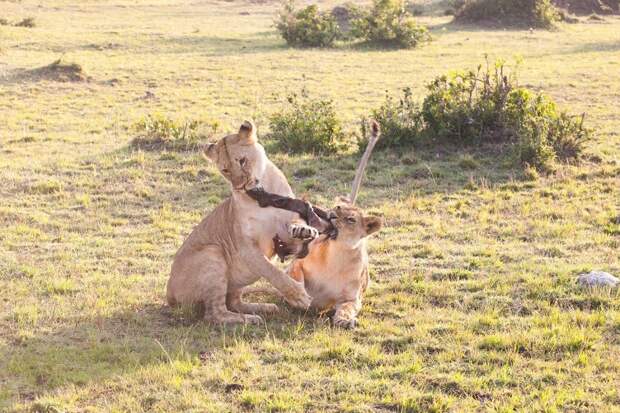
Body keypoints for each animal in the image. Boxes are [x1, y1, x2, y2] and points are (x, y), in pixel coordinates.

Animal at [166, 120, 314, 326]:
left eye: (242, 161)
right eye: (225, 170)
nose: (240, 186)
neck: (263, 196)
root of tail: (169, 294)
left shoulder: (285, 230)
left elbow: (295, 226)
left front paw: (303, 230)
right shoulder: (246, 248)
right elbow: (272, 271)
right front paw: (299, 296)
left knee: (234, 302)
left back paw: (263, 308)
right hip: (212, 252)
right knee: (215, 314)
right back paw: (249, 319)